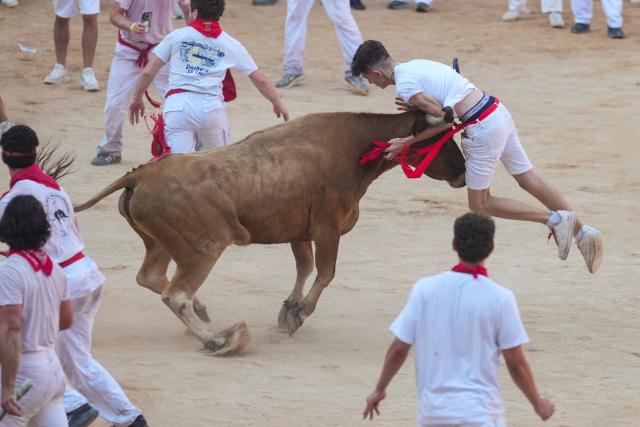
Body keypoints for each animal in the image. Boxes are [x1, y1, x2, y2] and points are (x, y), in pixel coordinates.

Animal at [74, 111, 466, 356]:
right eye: (443, 140)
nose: (463, 172)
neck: (354, 147)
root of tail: (141, 173)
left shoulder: (299, 231)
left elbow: (305, 268)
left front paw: (288, 308)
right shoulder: (326, 228)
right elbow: (326, 271)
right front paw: (299, 313)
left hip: (161, 245)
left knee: (152, 277)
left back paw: (205, 317)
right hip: (204, 248)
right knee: (176, 294)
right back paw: (218, 341)